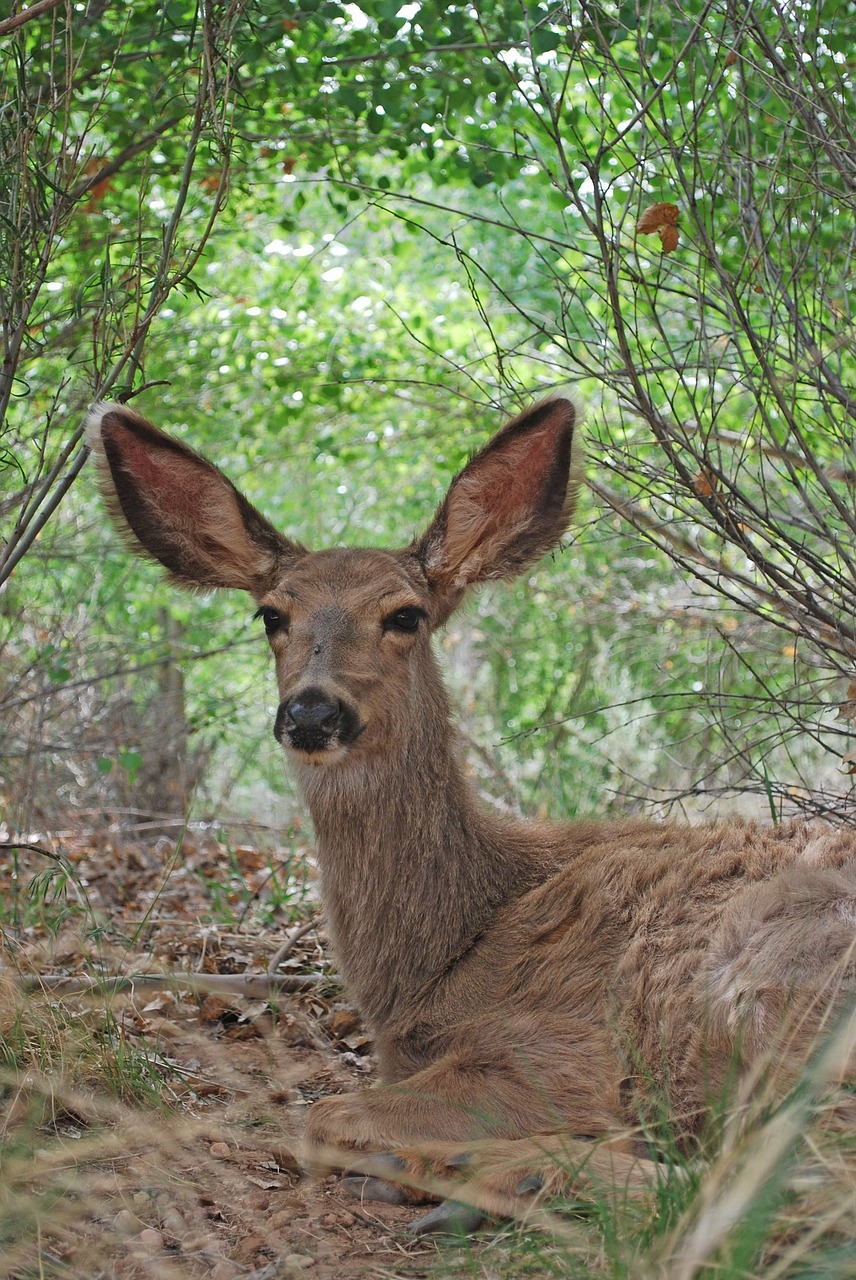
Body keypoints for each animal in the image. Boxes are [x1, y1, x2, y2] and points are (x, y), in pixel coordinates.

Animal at [85, 396, 854, 1228]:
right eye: (269, 615)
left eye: (405, 614)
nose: (313, 712)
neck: (440, 954)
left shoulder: (561, 1048)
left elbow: (323, 1115)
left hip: (753, 1004)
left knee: (789, 1180)